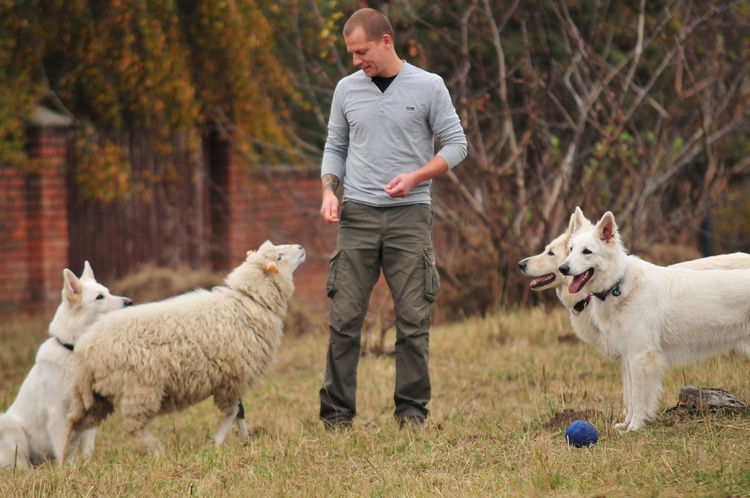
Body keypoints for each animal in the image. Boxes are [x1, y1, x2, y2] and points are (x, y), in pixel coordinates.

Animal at [0, 262, 131, 468]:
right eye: (99, 297)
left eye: (108, 292)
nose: (130, 302)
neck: (74, 351)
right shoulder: (58, 415)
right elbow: (63, 449)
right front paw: (65, 471)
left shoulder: (89, 413)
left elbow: (87, 450)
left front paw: (86, 468)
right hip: (8, 426)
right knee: (19, 465)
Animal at [60, 239, 304, 462]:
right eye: (279, 256)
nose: (301, 248)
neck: (246, 302)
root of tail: (88, 346)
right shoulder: (234, 378)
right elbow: (234, 411)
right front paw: (216, 443)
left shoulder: (232, 377)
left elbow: (240, 412)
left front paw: (247, 442)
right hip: (140, 389)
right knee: (132, 427)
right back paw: (156, 449)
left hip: (91, 395)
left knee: (74, 423)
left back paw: (67, 465)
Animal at [560, 207, 750, 432]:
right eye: (571, 249)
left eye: (587, 252)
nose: (563, 268)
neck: (619, 284)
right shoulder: (628, 357)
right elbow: (631, 396)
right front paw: (625, 425)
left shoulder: (641, 356)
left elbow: (638, 397)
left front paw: (634, 427)